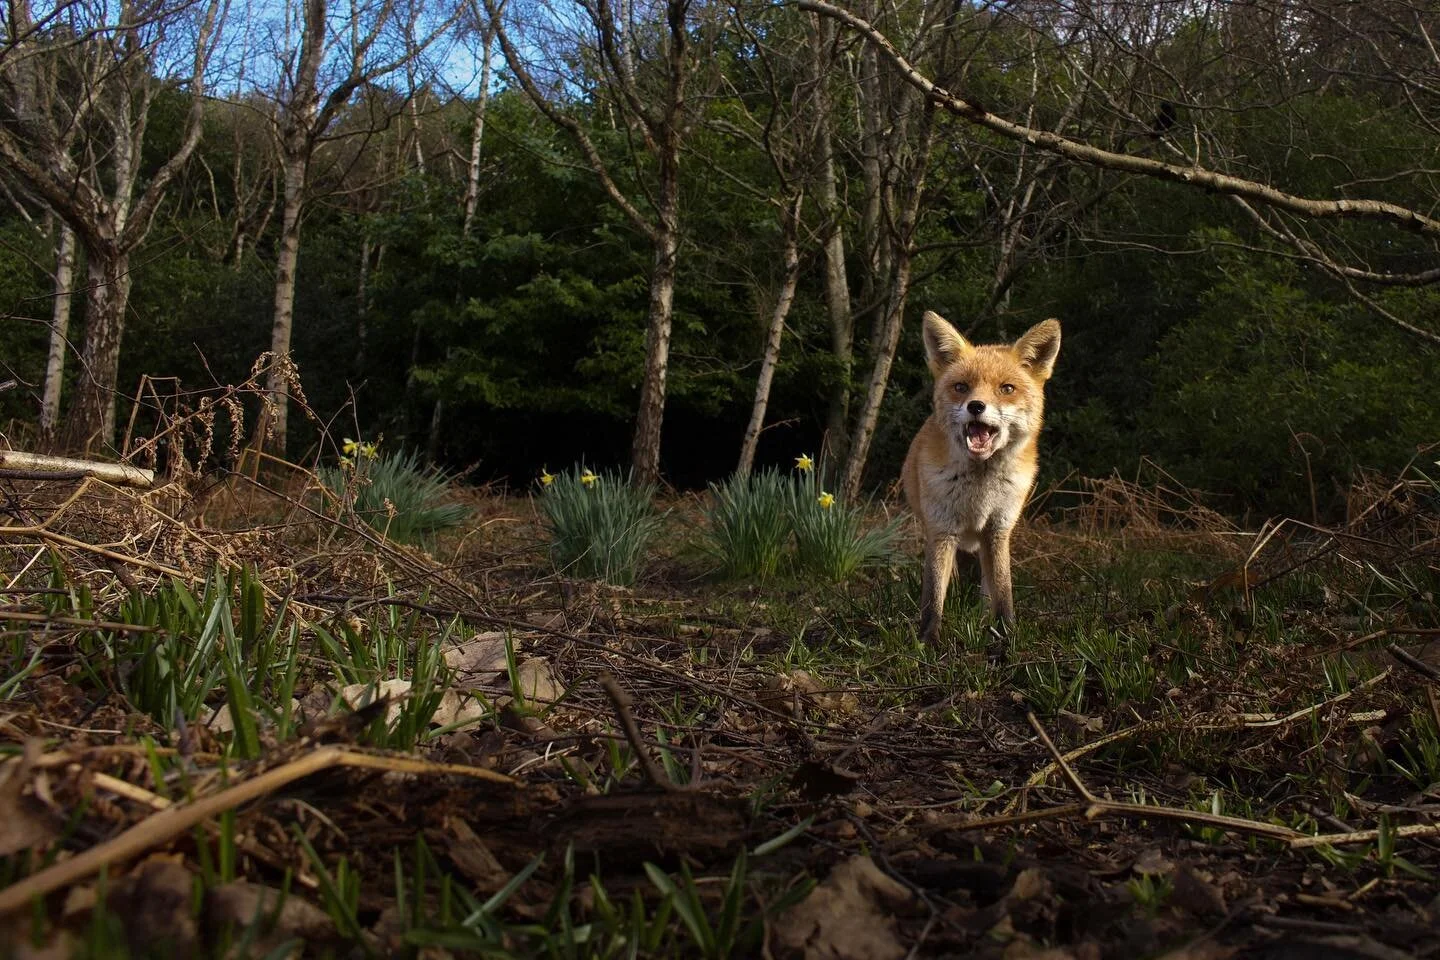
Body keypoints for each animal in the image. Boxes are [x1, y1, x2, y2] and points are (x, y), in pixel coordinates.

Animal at [901, 311, 1061, 643]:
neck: (980, 489)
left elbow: (1003, 590)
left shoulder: (998, 529)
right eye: (962, 387)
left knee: (987, 584)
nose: (976, 406)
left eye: (1007, 388)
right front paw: (928, 642)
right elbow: (933, 596)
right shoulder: (942, 529)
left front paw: (1006, 636)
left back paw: (982, 616)